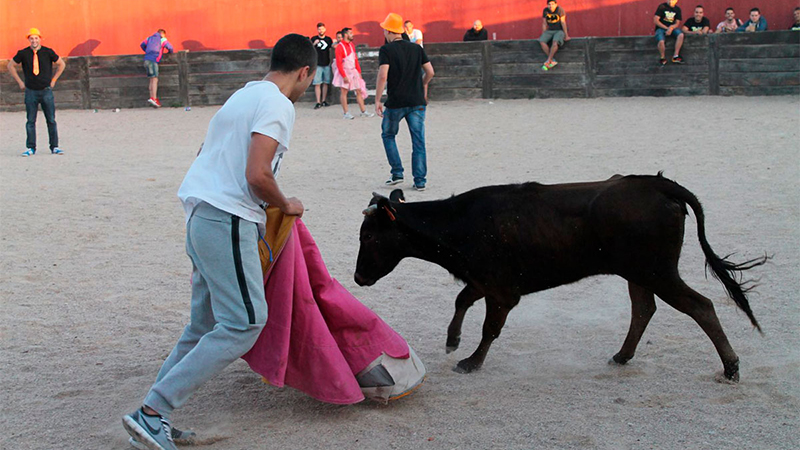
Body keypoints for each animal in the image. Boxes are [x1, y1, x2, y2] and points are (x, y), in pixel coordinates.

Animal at [354, 174, 764, 382]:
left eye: (369, 236)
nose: (357, 277)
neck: (461, 223)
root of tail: (659, 184)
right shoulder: (486, 281)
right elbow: (462, 299)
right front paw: (453, 341)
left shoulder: (502, 291)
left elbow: (489, 327)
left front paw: (470, 361)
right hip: (639, 272)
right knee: (643, 309)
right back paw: (622, 355)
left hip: (658, 271)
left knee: (700, 306)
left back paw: (731, 367)